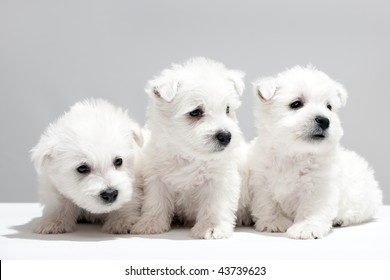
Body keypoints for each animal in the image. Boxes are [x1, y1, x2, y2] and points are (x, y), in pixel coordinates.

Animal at [30, 99, 143, 234]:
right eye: (82, 168)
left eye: (118, 161)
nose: (110, 194)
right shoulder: (53, 183)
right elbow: (59, 201)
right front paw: (53, 222)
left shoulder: (133, 180)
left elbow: (127, 201)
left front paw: (122, 221)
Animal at [133, 57, 245, 238]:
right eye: (195, 112)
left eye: (227, 109)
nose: (226, 136)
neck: (189, 155)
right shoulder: (157, 177)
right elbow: (156, 201)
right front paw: (150, 223)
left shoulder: (219, 179)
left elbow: (214, 205)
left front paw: (212, 227)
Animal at [248, 65, 382, 238]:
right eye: (296, 104)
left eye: (329, 107)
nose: (324, 120)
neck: (294, 153)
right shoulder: (262, 181)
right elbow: (268, 204)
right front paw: (273, 222)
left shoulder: (319, 186)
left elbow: (311, 209)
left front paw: (306, 227)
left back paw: (342, 219)